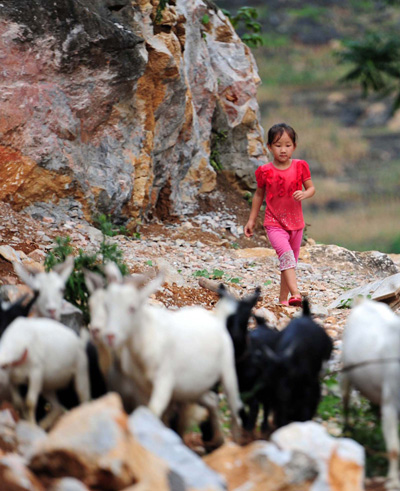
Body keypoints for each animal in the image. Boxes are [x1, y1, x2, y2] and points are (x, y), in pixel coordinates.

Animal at [101, 268, 242, 444]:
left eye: (132, 308)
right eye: (106, 305)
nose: (110, 336)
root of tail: (218, 320)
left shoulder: (164, 381)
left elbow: (153, 411)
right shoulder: (140, 387)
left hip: (227, 371)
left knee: (234, 407)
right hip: (192, 388)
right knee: (211, 400)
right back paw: (216, 440)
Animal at [342, 300, 400, 491]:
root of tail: (365, 302)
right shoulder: (391, 404)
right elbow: (394, 449)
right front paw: (393, 481)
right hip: (345, 371)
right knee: (345, 400)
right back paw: (347, 429)